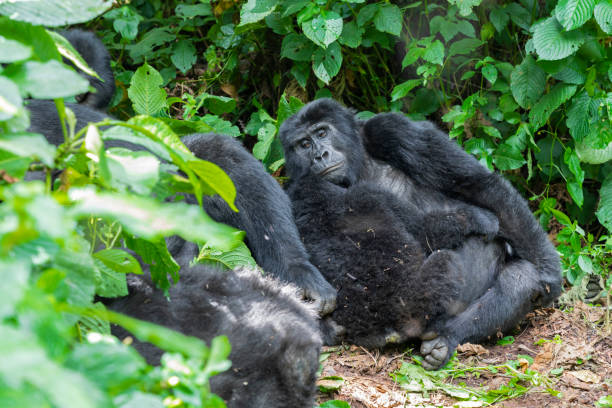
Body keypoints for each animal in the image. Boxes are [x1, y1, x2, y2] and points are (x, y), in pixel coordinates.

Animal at [280, 98, 560, 370]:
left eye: (322, 132)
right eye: (304, 144)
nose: (319, 155)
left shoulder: (391, 129)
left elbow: (474, 183)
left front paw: (548, 269)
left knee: (520, 278)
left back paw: (448, 338)